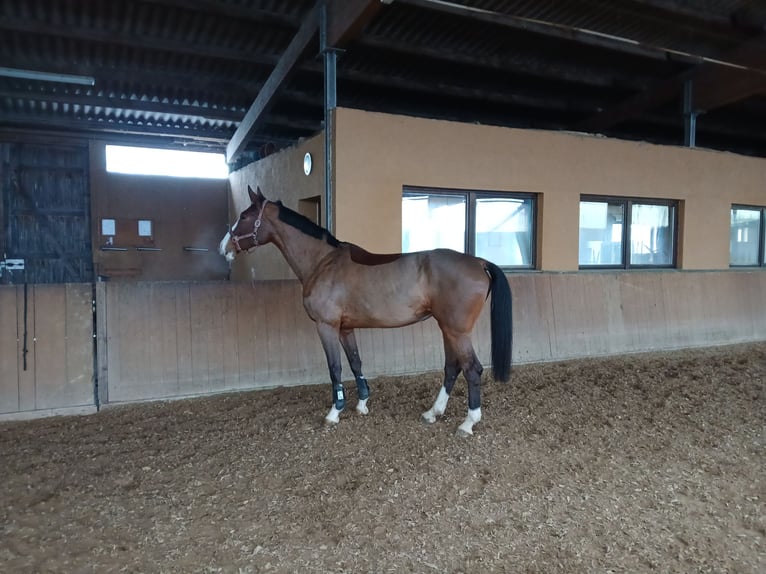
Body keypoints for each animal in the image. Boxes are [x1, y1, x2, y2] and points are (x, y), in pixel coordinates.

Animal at [220, 185, 513, 436]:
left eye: (244, 216)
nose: (224, 247)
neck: (322, 262)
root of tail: (480, 262)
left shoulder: (326, 326)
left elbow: (335, 367)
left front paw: (334, 412)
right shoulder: (345, 328)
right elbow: (355, 362)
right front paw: (361, 404)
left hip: (456, 331)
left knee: (472, 369)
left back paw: (468, 423)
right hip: (447, 328)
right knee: (452, 367)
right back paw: (433, 412)